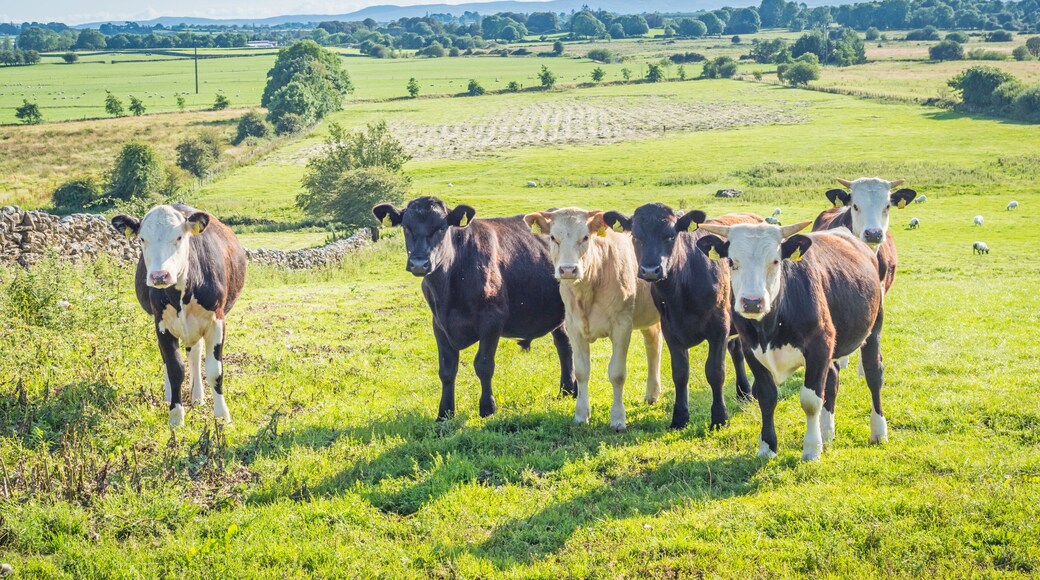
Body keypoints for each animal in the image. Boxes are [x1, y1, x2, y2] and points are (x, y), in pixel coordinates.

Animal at [112, 204, 246, 429]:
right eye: (142, 239)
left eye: (179, 237)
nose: (159, 276)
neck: (181, 294)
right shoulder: (162, 324)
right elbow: (175, 369)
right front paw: (175, 416)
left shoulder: (217, 322)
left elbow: (215, 371)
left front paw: (222, 416)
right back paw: (171, 395)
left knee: (195, 354)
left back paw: (198, 396)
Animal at [373, 197, 577, 421]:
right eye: (406, 227)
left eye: (441, 227)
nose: (419, 263)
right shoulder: (439, 324)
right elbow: (447, 369)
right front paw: (444, 413)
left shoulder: (492, 319)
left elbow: (484, 364)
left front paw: (487, 408)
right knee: (564, 343)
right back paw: (567, 390)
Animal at [524, 208, 661, 431]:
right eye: (553, 237)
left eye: (585, 237)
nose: (568, 270)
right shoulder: (574, 327)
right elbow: (581, 371)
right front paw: (581, 415)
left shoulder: (622, 325)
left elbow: (617, 373)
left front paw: (618, 418)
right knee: (653, 343)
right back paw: (652, 393)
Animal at [603, 204, 758, 430]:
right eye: (636, 236)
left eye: (670, 235)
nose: (650, 270)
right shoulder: (670, 329)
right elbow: (680, 372)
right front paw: (680, 417)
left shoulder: (719, 327)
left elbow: (715, 372)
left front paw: (719, 417)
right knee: (737, 349)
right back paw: (744, 392)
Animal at [696, 222, 884, 460]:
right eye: (731, 262)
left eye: (775, 261)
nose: (752, 302)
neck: (770, 326)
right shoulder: (751, 350)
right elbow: (767, 397)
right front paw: (767, 447)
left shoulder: (819, 347)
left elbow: (810, 401)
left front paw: (812, 449)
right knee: (832, 378)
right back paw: (827, 432)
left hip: (874, 328)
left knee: (874, 374)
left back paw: (878, 431)